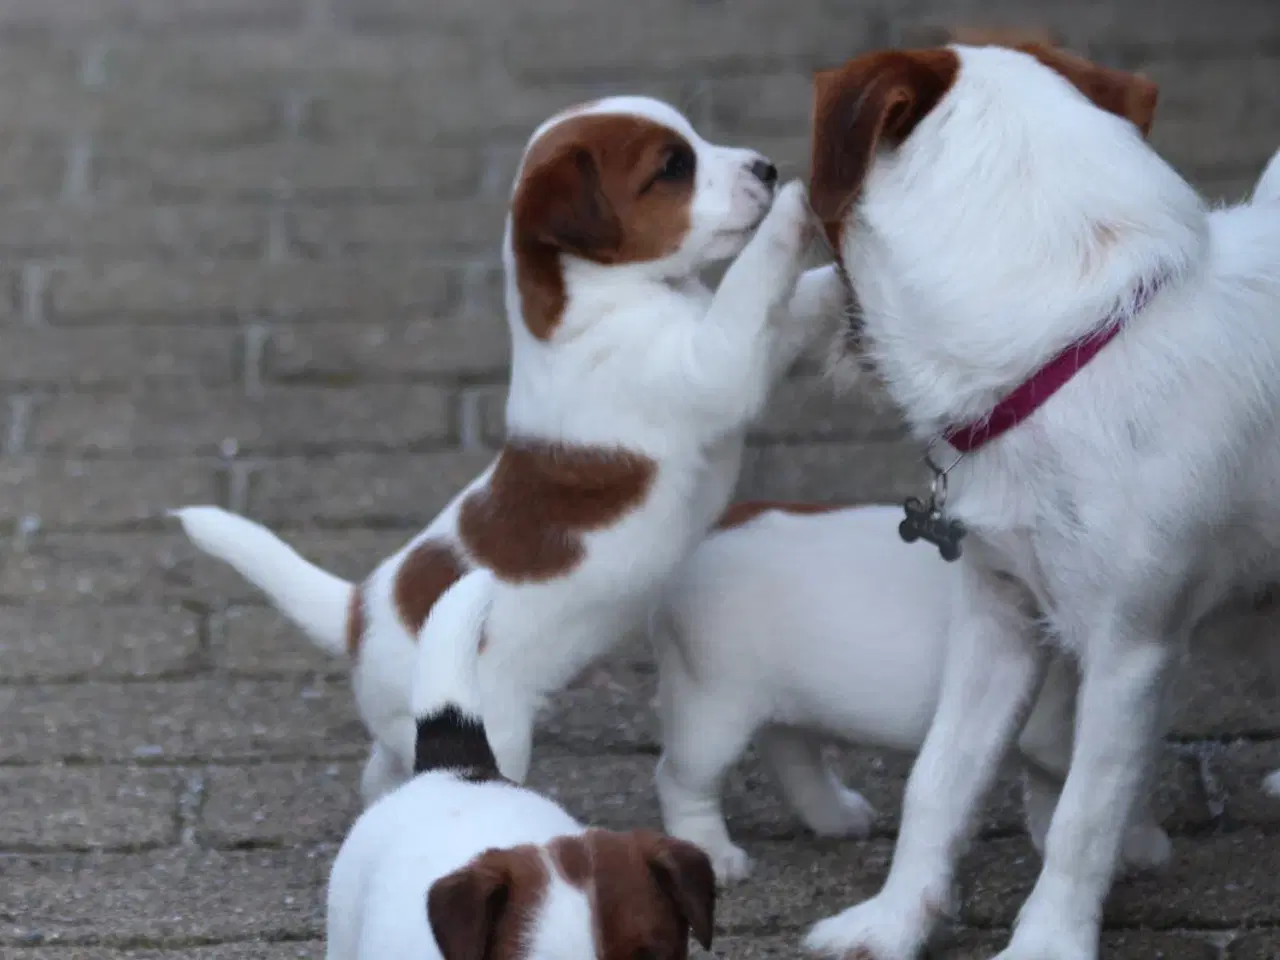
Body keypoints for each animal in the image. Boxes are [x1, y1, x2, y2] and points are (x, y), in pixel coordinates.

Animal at [175, 96, 844, 803]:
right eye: (673, 167)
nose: (766, 168)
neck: (600, 296)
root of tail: (357, 612)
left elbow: (792, 306)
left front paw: (841, 279)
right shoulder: (712, 363)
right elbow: (752, 294)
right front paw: (795, 214)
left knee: (384, 771)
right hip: (495, 724)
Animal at [655, 504, 1172, 885]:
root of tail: (711, 530)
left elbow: (1054, 794)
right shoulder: (1059, 726)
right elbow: (1108, 787)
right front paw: (1143, 844)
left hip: (781, 700)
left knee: (791, 752)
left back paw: (835, 814)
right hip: (712, 706)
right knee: (683, 780)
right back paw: (712, 852)